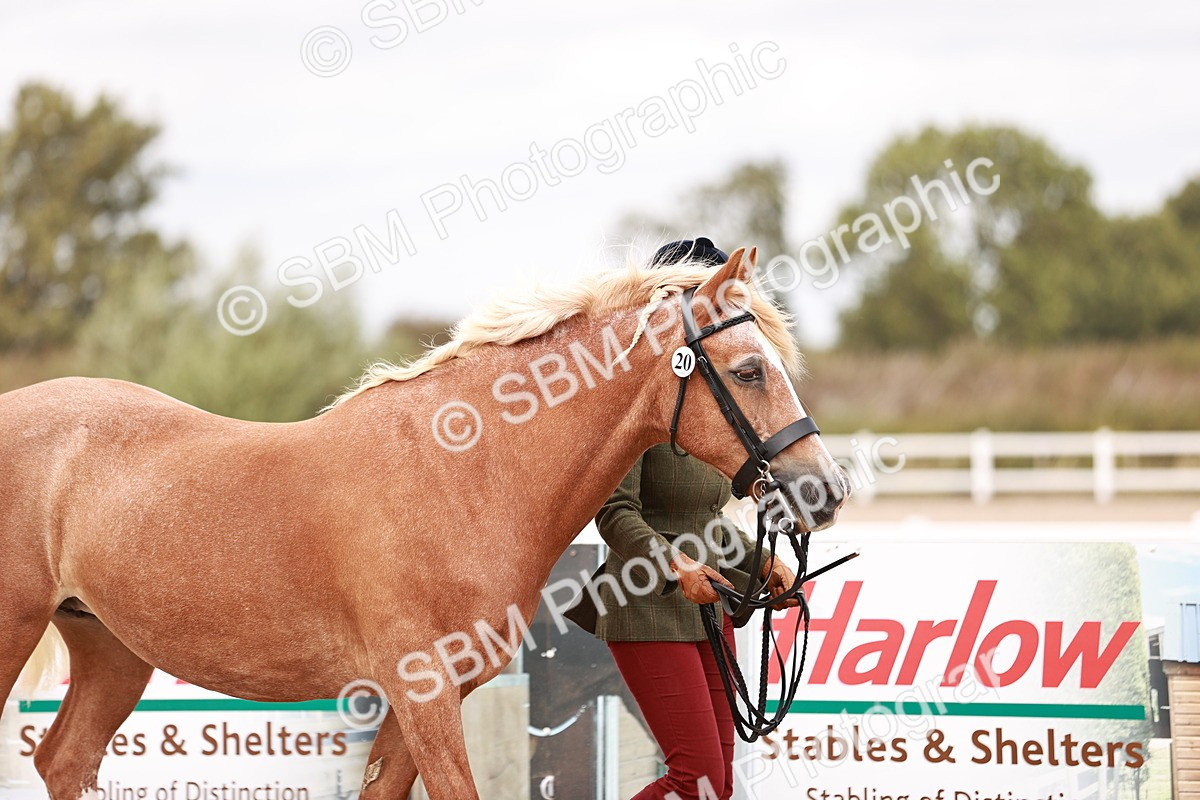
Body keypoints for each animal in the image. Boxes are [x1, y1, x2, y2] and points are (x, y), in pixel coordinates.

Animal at [0, 247, 849, 799]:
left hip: (111, 649)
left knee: (64, 762)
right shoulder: (424, 693)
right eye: (749, 370)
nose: (825, 490)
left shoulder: (431, 700)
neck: (461, 475)